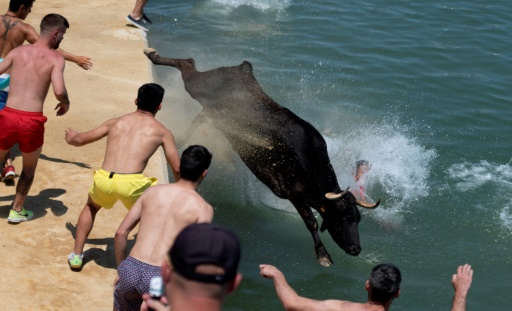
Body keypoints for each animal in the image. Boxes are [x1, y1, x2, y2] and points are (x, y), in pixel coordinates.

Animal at [144, 48, 380, 266]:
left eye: (357, 218)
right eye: (340, 216)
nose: (355, 248)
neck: (310, 161)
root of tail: (242, 69)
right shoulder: (292, 193)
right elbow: (311, 221)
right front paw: (322, 254)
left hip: (212, 112)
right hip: (198, 86)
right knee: (188, 64)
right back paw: (153, 56)